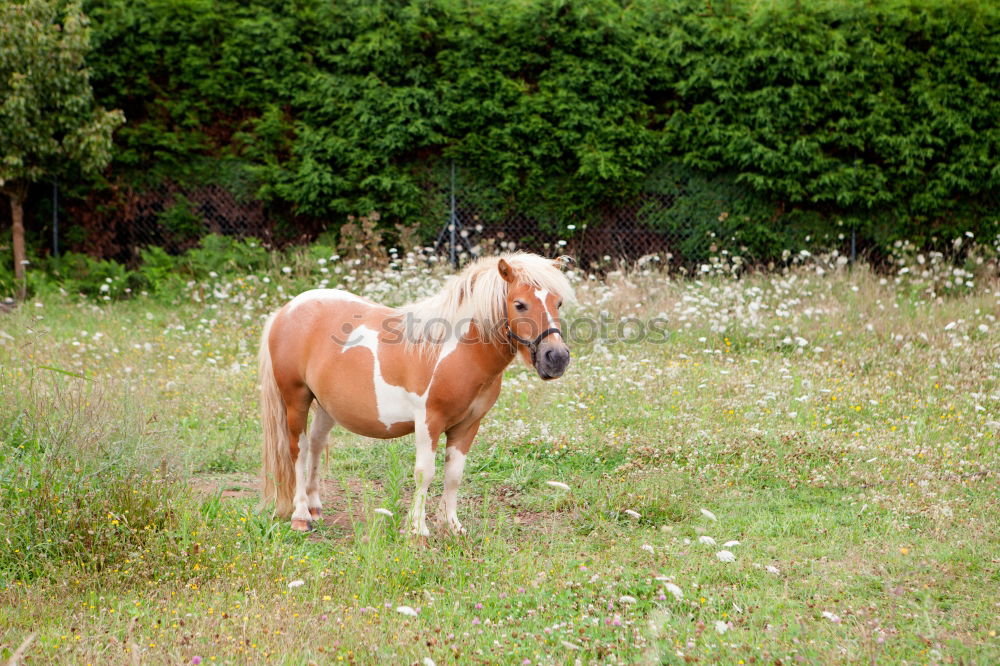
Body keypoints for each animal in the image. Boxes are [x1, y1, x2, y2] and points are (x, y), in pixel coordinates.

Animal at [258, 252, 576, 532]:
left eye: (558, 303)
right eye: (520, 304)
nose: (556, 358)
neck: (456, 351)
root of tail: (286, 310)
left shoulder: (468, 425)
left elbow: (454, 475)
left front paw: (451, 526)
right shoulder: (429, 422)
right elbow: (425, 473)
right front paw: (417, 530)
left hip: (326, 405)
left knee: (315, 444)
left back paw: (314, 508)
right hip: (296, 399)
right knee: (297, 450)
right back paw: (301, 516)